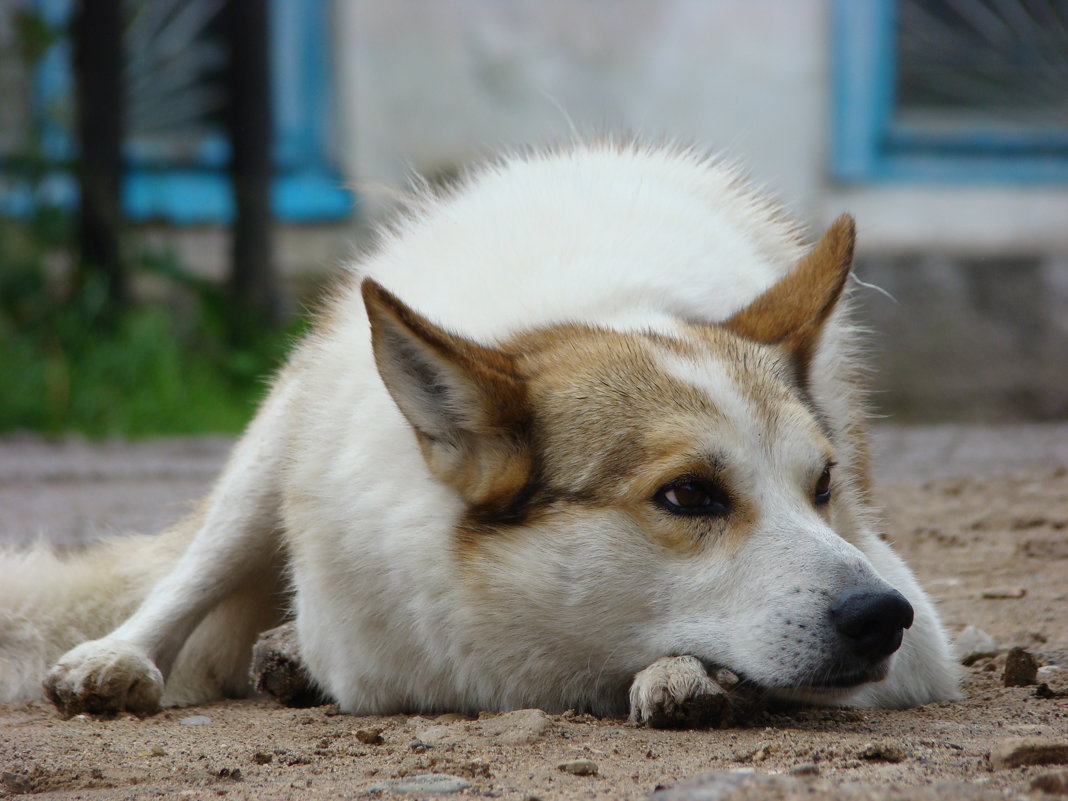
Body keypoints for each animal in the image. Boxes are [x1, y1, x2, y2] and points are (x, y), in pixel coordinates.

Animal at [0, 140, 965, 726]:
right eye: (689, 494)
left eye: (822, 485)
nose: (882, 614)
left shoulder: (918, 636)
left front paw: (684, 675)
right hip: (271, 449)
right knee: (192, 573)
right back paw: (121, 658)